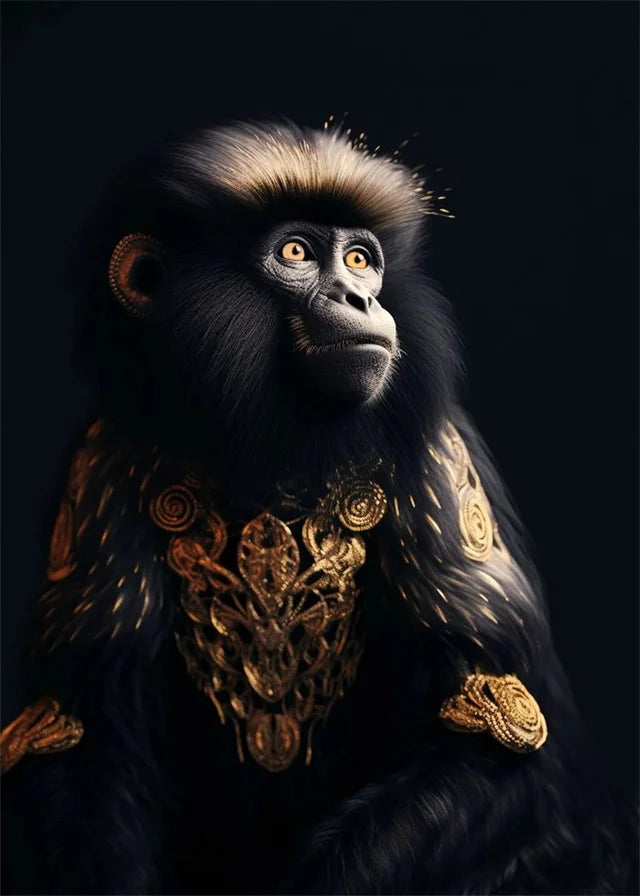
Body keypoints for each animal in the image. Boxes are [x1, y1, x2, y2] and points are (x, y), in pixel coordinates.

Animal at [1, 120, 635, 896]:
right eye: (297, 253)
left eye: (361, 260)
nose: (360, 300)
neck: (269, 447)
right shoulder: (97, 464)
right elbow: (74, 736)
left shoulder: (439, 457)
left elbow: (498, 728)